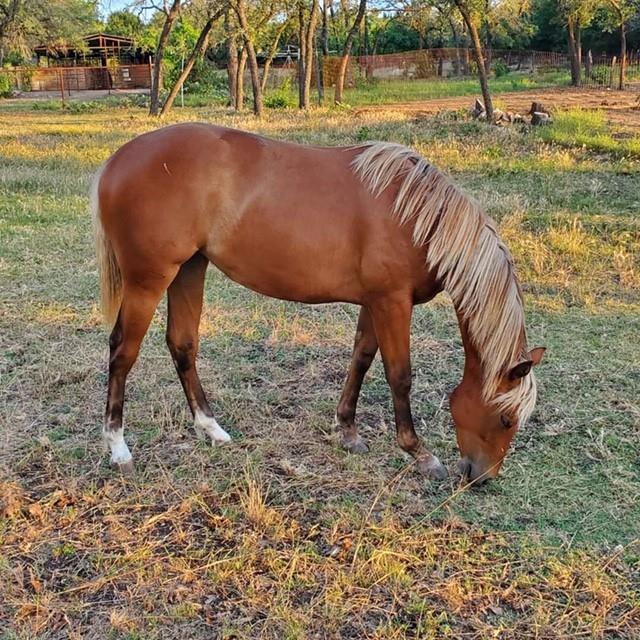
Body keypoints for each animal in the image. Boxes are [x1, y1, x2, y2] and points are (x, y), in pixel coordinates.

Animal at [92, 124, 544, 484]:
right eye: (505, 419)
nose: (481, 477)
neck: (419, 216)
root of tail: (116, 161)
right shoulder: (393, 302)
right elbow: (399, 375)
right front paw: (419, 453)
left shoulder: (375, 302)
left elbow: (361, 358)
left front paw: (348, 431)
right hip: (148, 280)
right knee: (123, 352)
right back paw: (118, 448)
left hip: (189, 268)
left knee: (182, 344)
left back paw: (210, 428)